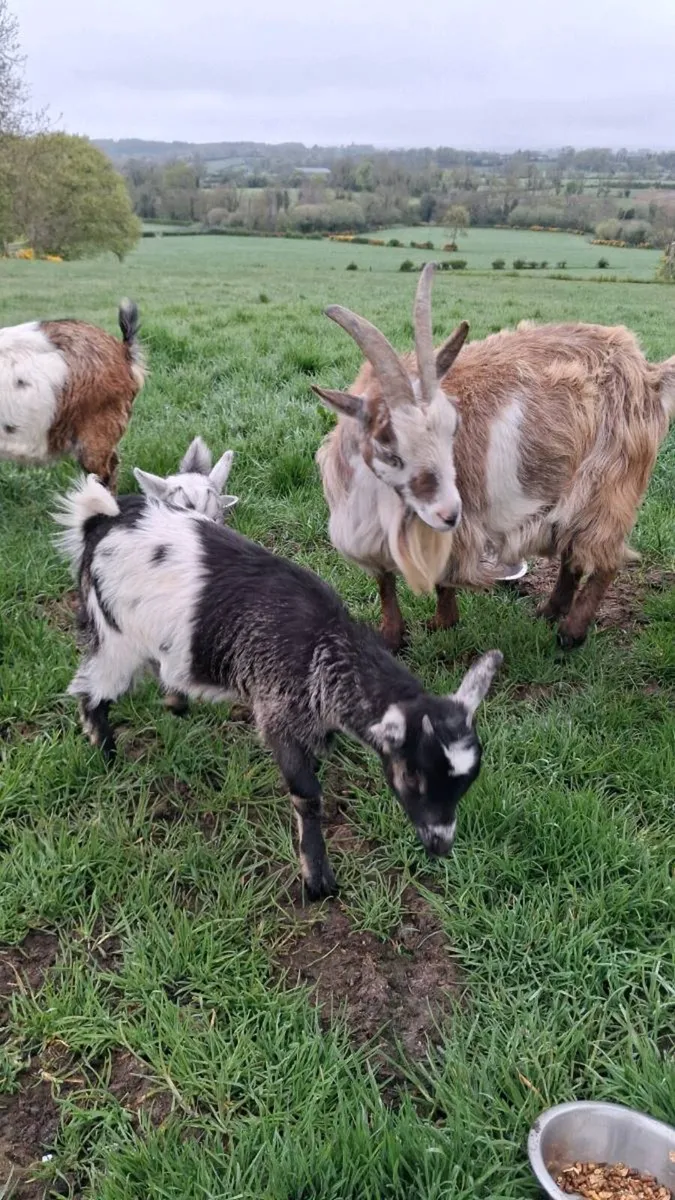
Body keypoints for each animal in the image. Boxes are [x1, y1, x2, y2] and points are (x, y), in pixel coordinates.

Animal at [54, 475, 502, 898]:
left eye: (467, 781)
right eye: (411, 776)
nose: (440, 845)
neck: (324, 646)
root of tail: (101, 518)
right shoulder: (276, 710)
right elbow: (306, 794)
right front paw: (318, 880)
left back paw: (173, 700)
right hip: (114, 634)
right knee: (90, 690)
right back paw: (106, 754)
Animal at [314, 264, 675, 651]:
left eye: (452, 428)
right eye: (385, 442)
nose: (450, 512)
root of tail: (646, 370)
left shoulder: (452, 536)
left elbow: (442, 580)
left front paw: (441, 623)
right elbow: (385, 584)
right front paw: (392, 637)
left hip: (610, 484)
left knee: (603, 558)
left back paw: (570, 633)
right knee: (573, 553)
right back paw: (549, 612)